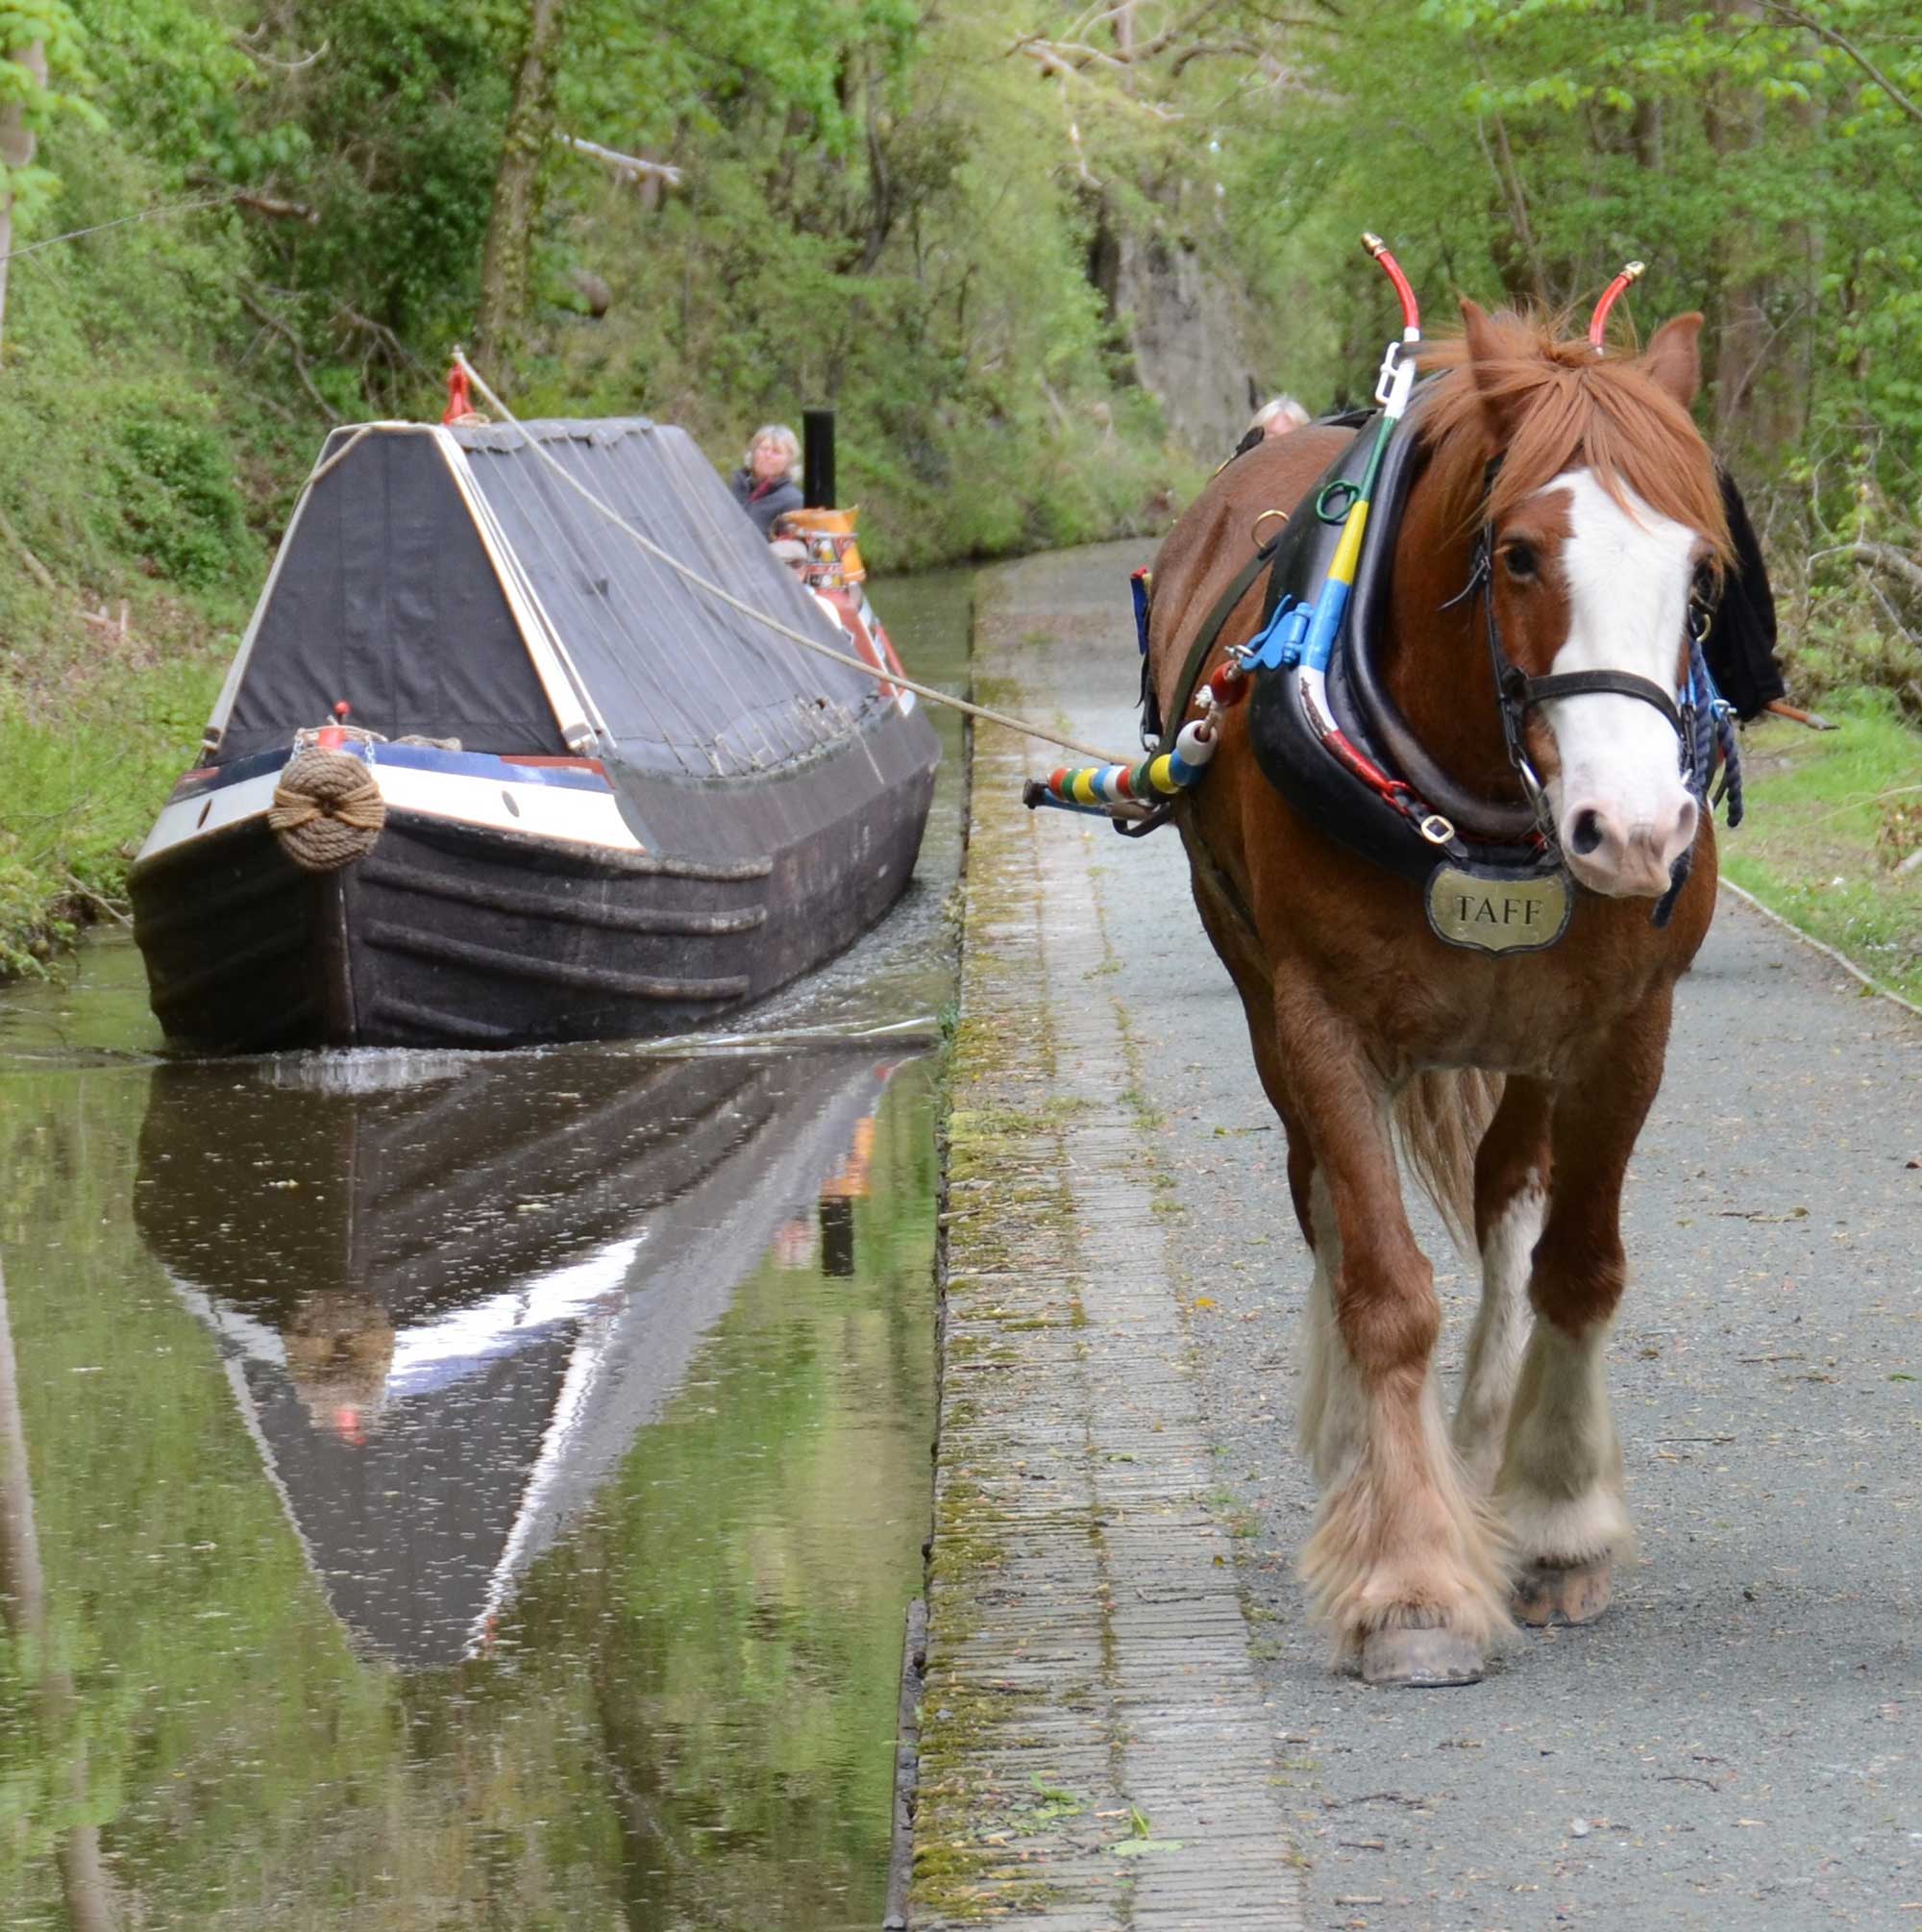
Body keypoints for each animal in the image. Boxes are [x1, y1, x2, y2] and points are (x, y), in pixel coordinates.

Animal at [1146, 301, 1733, 1686]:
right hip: (1262, 996)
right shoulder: (1319, 1019)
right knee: (1321, 1194)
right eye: (1517, 556)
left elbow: (1576, 1263)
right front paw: (1409, 1576)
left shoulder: (1625, 1027)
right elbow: (1384, 1286)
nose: (1635, 830)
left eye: (1699, 574)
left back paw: (1484, 1438)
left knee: (1509, 1195)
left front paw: (1557, 1514)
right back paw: (1369, 1454)